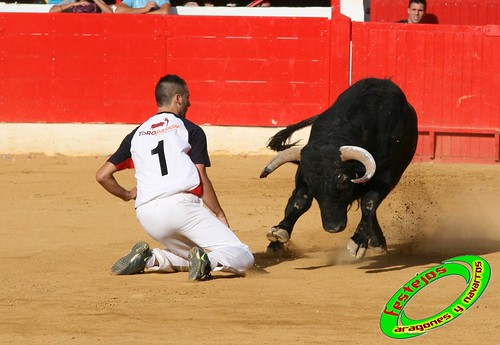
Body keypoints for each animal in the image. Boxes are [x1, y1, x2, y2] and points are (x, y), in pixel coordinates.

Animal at [260, 78, 420, 258]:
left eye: (343, 181)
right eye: (313, 185)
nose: (333, 227)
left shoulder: (386, 175)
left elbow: (369, 203)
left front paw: (358, 242)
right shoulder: (304, 178)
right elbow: (299, 202)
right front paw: (279, 234)